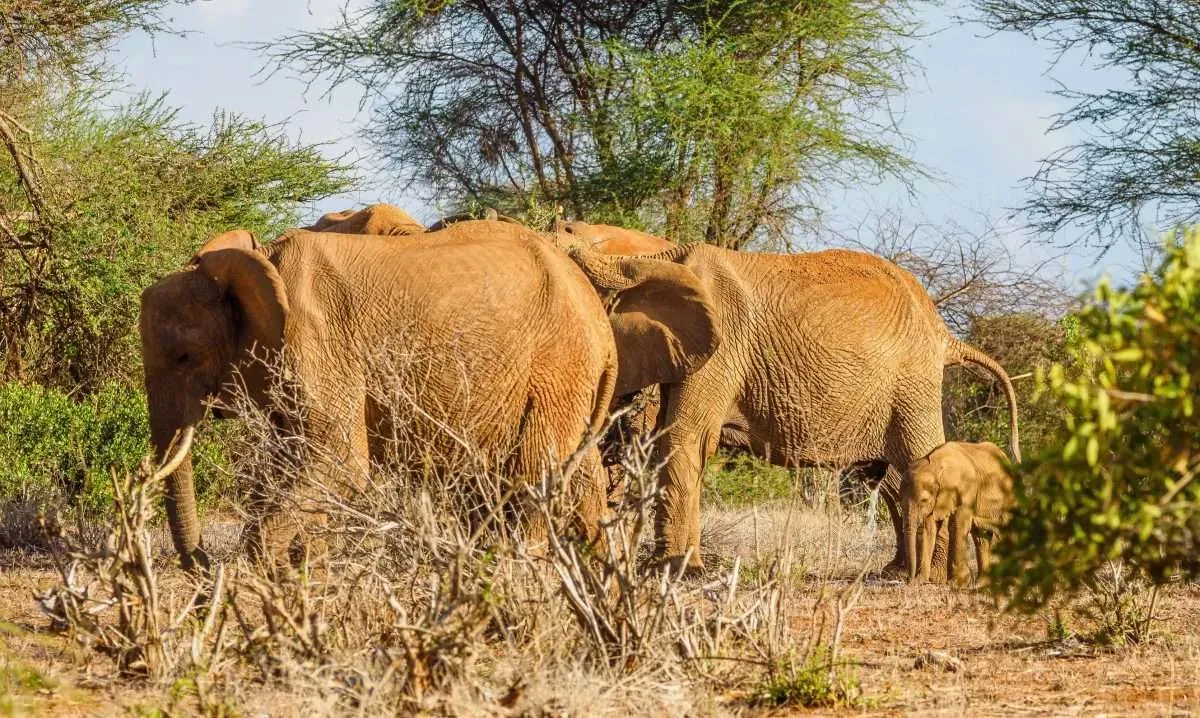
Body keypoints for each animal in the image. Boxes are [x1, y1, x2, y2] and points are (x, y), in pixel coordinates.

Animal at [138, 220, 719, 571]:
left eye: (185, 357)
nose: (199, 564)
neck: (259, 263)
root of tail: (598, 319)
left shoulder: (318, 341)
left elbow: (338, 461)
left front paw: (261, 575)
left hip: (556, 368)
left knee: (531, 479)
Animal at [903, 441, 1014, 586]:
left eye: (924, 500)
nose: (908, 580)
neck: (935, 466)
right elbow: (929, 529)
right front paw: (920, 581)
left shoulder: (966, 489)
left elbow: (957, 526)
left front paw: (956, 583)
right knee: (981, 538)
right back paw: (981, 584)